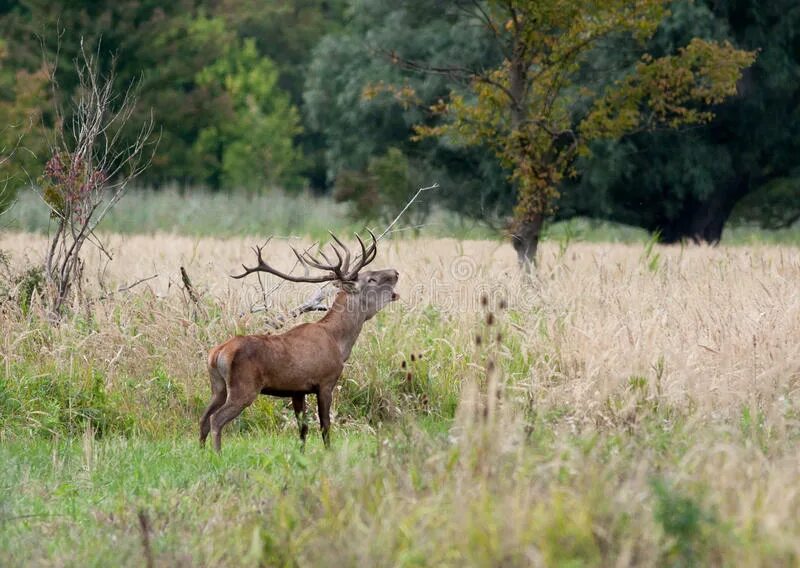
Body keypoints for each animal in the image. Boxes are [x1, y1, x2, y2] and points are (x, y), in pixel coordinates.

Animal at [200, 229, 400, 450]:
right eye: (371, 279)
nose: (396, 273)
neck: (339, 343)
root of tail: (217, 353)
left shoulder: (297, 390)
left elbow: (302, 428)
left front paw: (301, 453)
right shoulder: (325, 381)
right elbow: (325, 426)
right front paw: (328, 452)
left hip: (217, 387)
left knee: (203, 418)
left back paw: (202, 452)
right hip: (243, 387)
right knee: (216, 419)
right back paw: (217, 453)